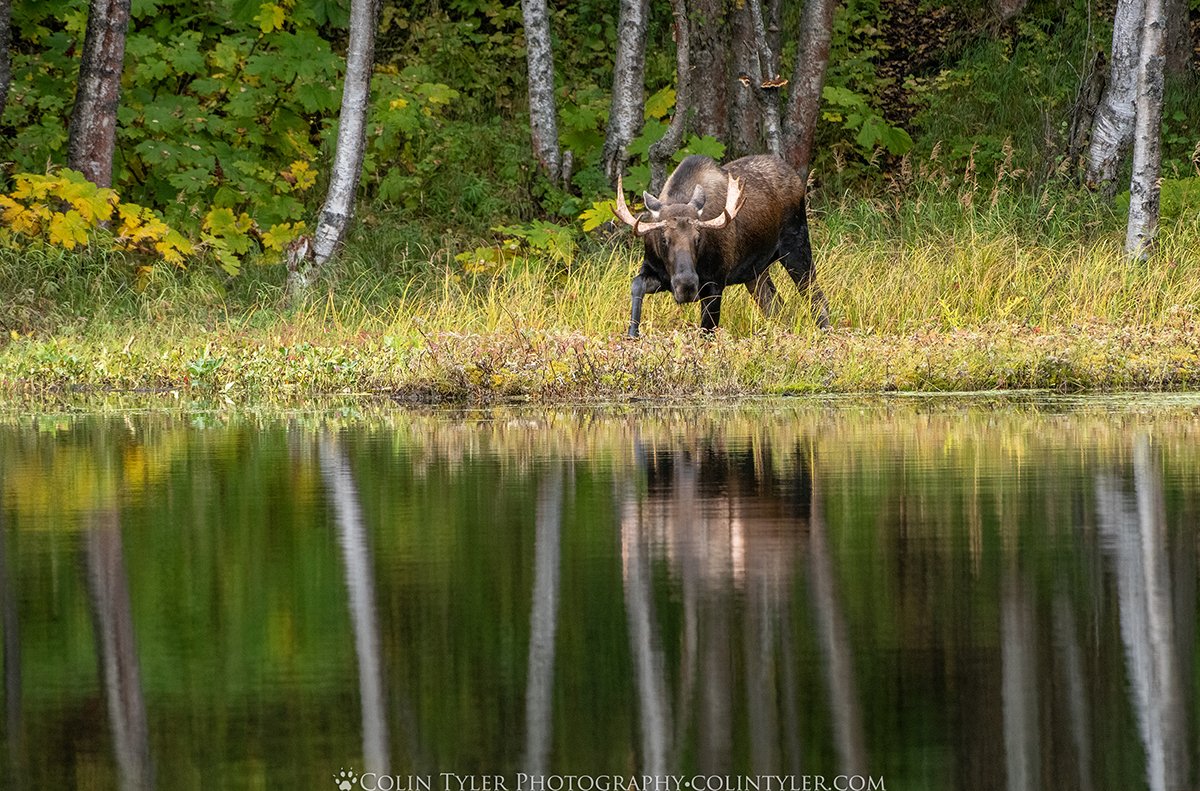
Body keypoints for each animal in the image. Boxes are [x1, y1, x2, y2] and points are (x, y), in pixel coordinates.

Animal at [614, 154, 830, 337]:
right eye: (664, 239)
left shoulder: (714, 284)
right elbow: (636, 285)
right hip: (755, 272)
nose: (686, 286)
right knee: (775, 305)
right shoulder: (655, 271)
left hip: (796, 247)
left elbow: (706, 333)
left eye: (698, 238)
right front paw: (633, 333)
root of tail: (796, 178)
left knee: (817, 298)